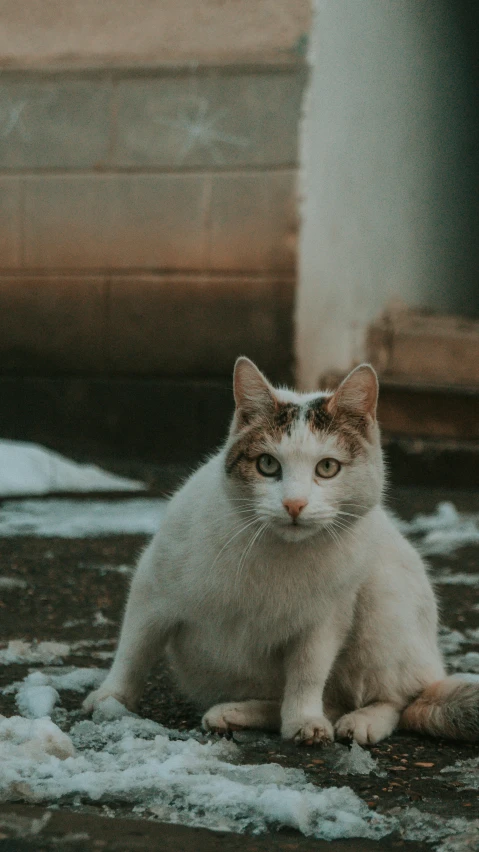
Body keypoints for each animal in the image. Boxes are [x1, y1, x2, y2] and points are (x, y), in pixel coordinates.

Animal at [84, 356, 478, 744]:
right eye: (268, 464)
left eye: (327, 467)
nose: (294, 504)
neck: (279, 553)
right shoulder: (153, 586)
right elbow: (134, 646)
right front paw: (111, 698)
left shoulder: (326, 620)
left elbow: (307, 673)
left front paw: (305, 719)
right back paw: (235, 712)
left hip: (385, 599)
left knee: (400, 699)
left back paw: (362, 720)